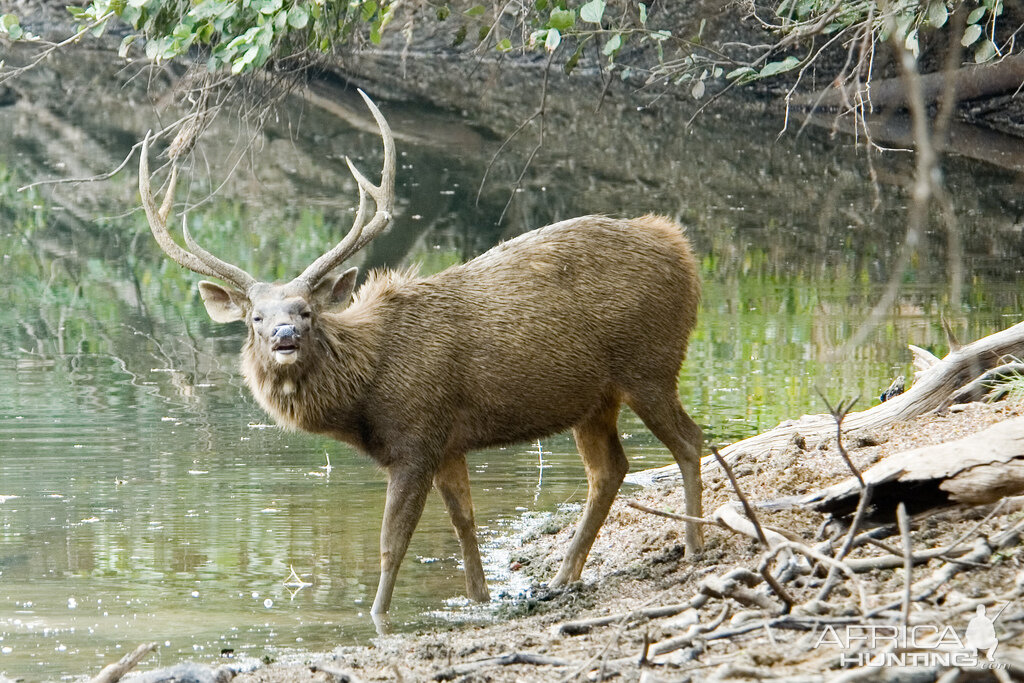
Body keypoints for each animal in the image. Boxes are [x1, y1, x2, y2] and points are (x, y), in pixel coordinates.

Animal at [140, 89, 704, 614]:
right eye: (255, 317)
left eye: (305, 311)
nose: (284, 337)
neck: (364, 395)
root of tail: (682, 248)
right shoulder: (449, 442)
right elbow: (464, 523)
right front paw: (479, 598)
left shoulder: (416, 439)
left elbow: (392, 544)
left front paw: (377, 616)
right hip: (594, 399)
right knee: (610, 469)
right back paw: (565, 576)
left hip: (651, 363)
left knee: (689, 440)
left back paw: (694, 545)